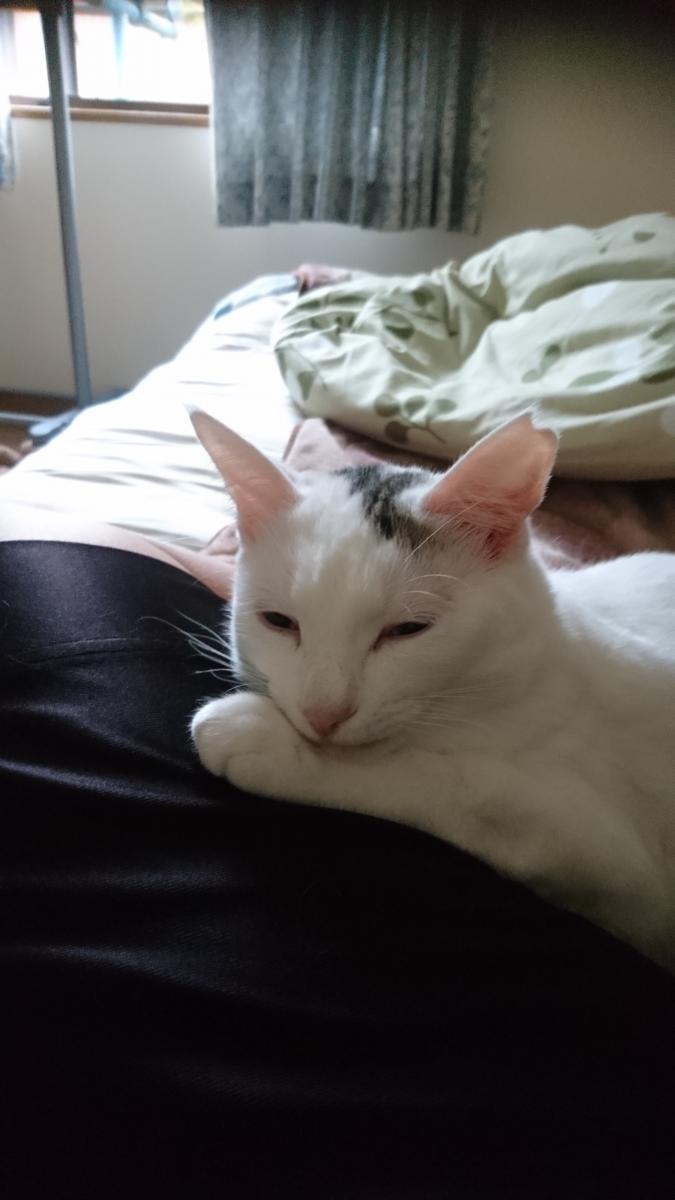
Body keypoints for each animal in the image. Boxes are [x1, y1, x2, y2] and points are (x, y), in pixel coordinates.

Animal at [189, 409, 675, 970]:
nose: (324, 713)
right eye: (278, 622)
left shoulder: (608, 856)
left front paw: (266, 742)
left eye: (407, 630)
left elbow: (447, 782)